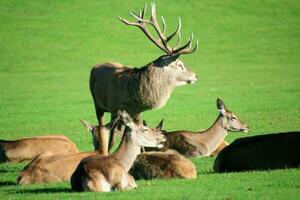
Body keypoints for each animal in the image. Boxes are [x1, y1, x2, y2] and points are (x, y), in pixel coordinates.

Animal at [91, 1, 199, 155]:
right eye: (180, 65)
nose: (195, 75)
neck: (135, 96)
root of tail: (96, 65)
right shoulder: (114, 109)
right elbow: (111, 140)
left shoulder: (138, 114)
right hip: (97, 103)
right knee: (102, 126)